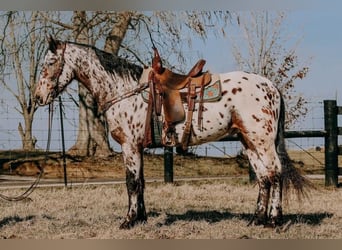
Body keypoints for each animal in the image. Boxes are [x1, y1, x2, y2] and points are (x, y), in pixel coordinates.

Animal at [34, 36, 310, 229]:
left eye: (50, 62)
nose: (38, 97)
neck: (124, 90)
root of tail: (271, 86)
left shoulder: (129, 146)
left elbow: (131, 182)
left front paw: (128, 221)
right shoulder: (137, 148)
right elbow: (141, 182)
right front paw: (141, 218)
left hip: (262, 141)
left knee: (275, 173)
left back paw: (273, 220)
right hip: (249, 142)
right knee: (264, 177)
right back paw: (256, 220)